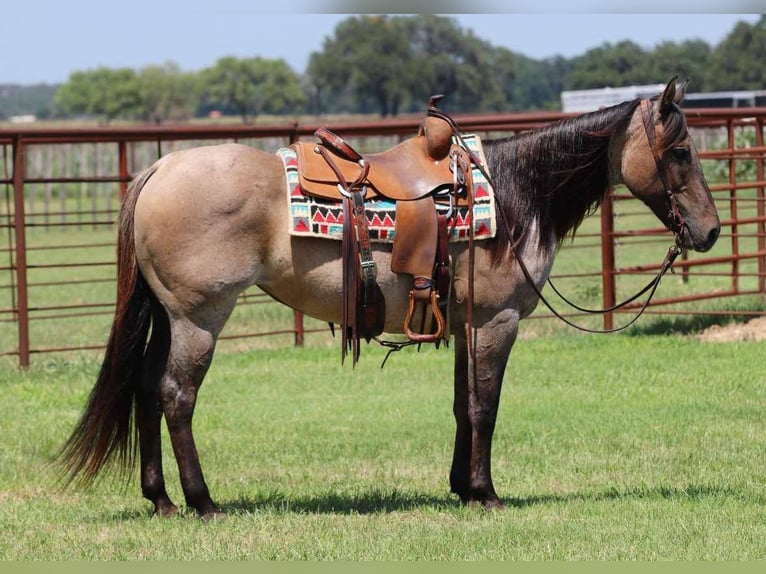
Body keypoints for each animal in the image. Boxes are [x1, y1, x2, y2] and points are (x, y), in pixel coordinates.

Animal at [58, 79, 720, 520]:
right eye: (680, 151)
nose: (710, 230)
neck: (512, 198)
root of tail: (160, 170)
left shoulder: (465, 326)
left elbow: (462, 406)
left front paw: (461, 487)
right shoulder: (496, 322)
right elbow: (485, 408)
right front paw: (487, 493)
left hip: (170, 316)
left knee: (147, 389)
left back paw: (162, 499)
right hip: (200, 317)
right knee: (177, 396)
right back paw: (202, 501)